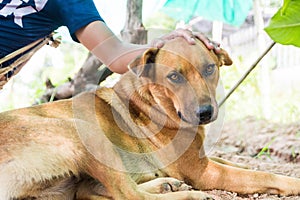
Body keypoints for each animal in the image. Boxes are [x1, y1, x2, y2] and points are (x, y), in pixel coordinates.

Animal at [0, 38, 300, 200]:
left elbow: (235, 162)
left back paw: (163, 183)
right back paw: (187, 193)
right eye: (174, 76)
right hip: (80, 131)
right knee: (127, 194)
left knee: (98, 191)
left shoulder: (200, 159)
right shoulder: (201, 171)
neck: (156, 102)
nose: (205, 113)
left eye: (210, 69)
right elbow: (260, 174)